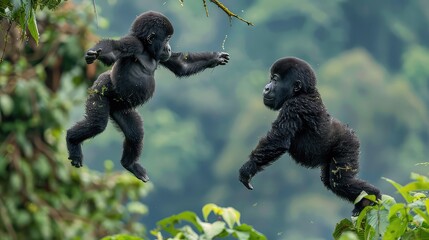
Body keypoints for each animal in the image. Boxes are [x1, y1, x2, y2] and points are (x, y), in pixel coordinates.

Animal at [65, 10, 229, 181]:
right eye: (167, 39)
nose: (169, 48)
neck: (146, 49)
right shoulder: (133, 44)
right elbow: (113, 49)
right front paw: (94, 54)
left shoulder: (161, 56)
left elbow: (182, 65)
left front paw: (215, 58)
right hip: (100, 89)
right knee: (97, 124)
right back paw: (72, 141)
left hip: (120, 109)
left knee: (135, 133)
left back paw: (130, 164)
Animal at [237, 57, 382, 215]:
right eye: (271, 79)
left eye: (275, 80)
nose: (266, 88)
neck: (304, 92)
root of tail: (350, 132)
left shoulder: (294, 106)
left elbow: (278, 139)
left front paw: (248, 168)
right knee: (330, 181)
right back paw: (363, 202)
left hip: (347, 144)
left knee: (340, 182)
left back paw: (374, 196)